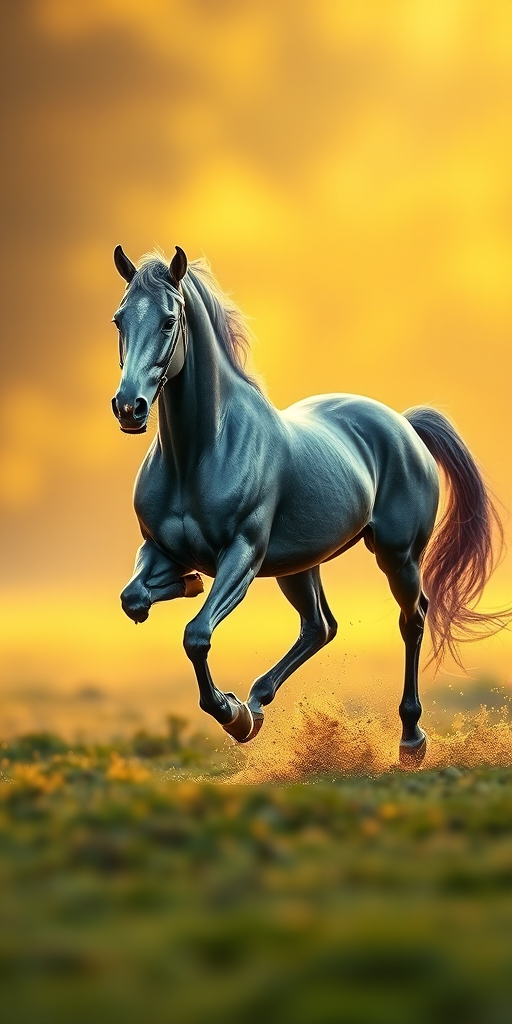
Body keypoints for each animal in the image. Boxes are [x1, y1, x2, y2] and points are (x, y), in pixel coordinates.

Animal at [111, 244, 510, 765]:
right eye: (119, 319)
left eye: (168, 320)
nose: (129, 408)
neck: (198, 452)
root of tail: (404, 425)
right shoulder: (157, 548)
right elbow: (134, 598)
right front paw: (189, 585)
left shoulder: (242, 555)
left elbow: (196, 635)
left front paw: (231, 715)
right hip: (299, 565)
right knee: (320, 627)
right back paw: (257, 701)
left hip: (398, 557)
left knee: (413, 619)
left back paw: (410, 739)